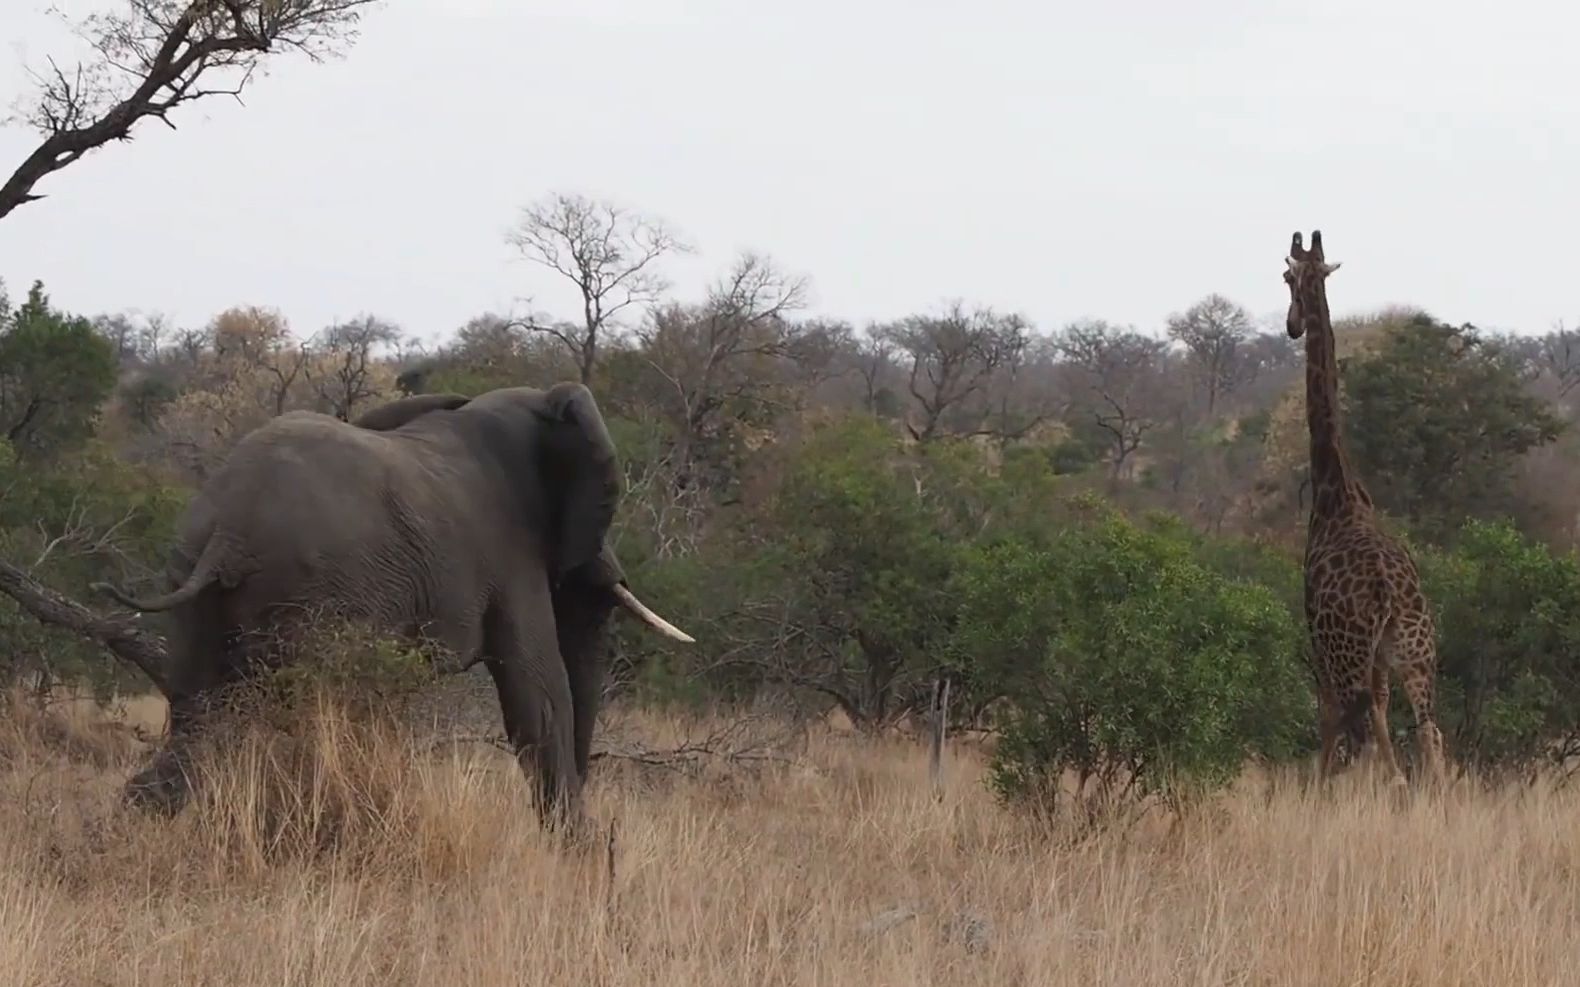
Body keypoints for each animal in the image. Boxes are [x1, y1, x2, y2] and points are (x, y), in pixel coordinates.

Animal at [94, 380, 692, 827]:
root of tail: (229, 532)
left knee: (196, 709)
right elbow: (538, 693)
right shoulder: (510, 555)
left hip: (192, 574)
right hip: (317, 600)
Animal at [1282, 228, 1447, 786]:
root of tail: (1389, 591)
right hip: (1416, 654)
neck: (1337, 492)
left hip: (1349, 652)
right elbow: (1381, 722)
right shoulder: (1379, 661)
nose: (1291, 324)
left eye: (1286, 276)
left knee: (1366, 740)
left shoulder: (1318, 639)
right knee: (1430, 736)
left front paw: (1316, 792)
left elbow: (1329, 721)